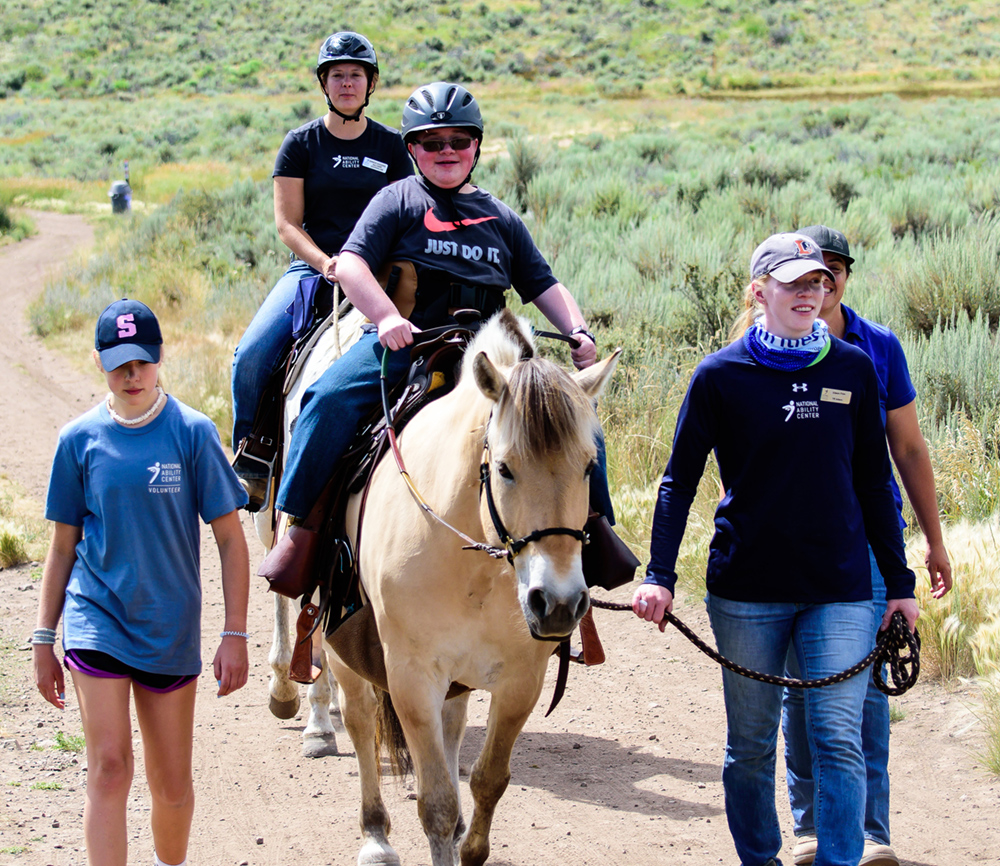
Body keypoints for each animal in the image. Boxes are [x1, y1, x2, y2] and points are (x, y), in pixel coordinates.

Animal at [320, 310, 616, 864]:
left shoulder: (521, 680)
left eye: (590, 465)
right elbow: (436, 803)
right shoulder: (412, 678)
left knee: (452, 725)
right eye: (503, 468)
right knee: (360, 718)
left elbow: (487, 782)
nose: (558, 604)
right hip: (341, 646)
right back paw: (374, 835)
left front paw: (470, 843)